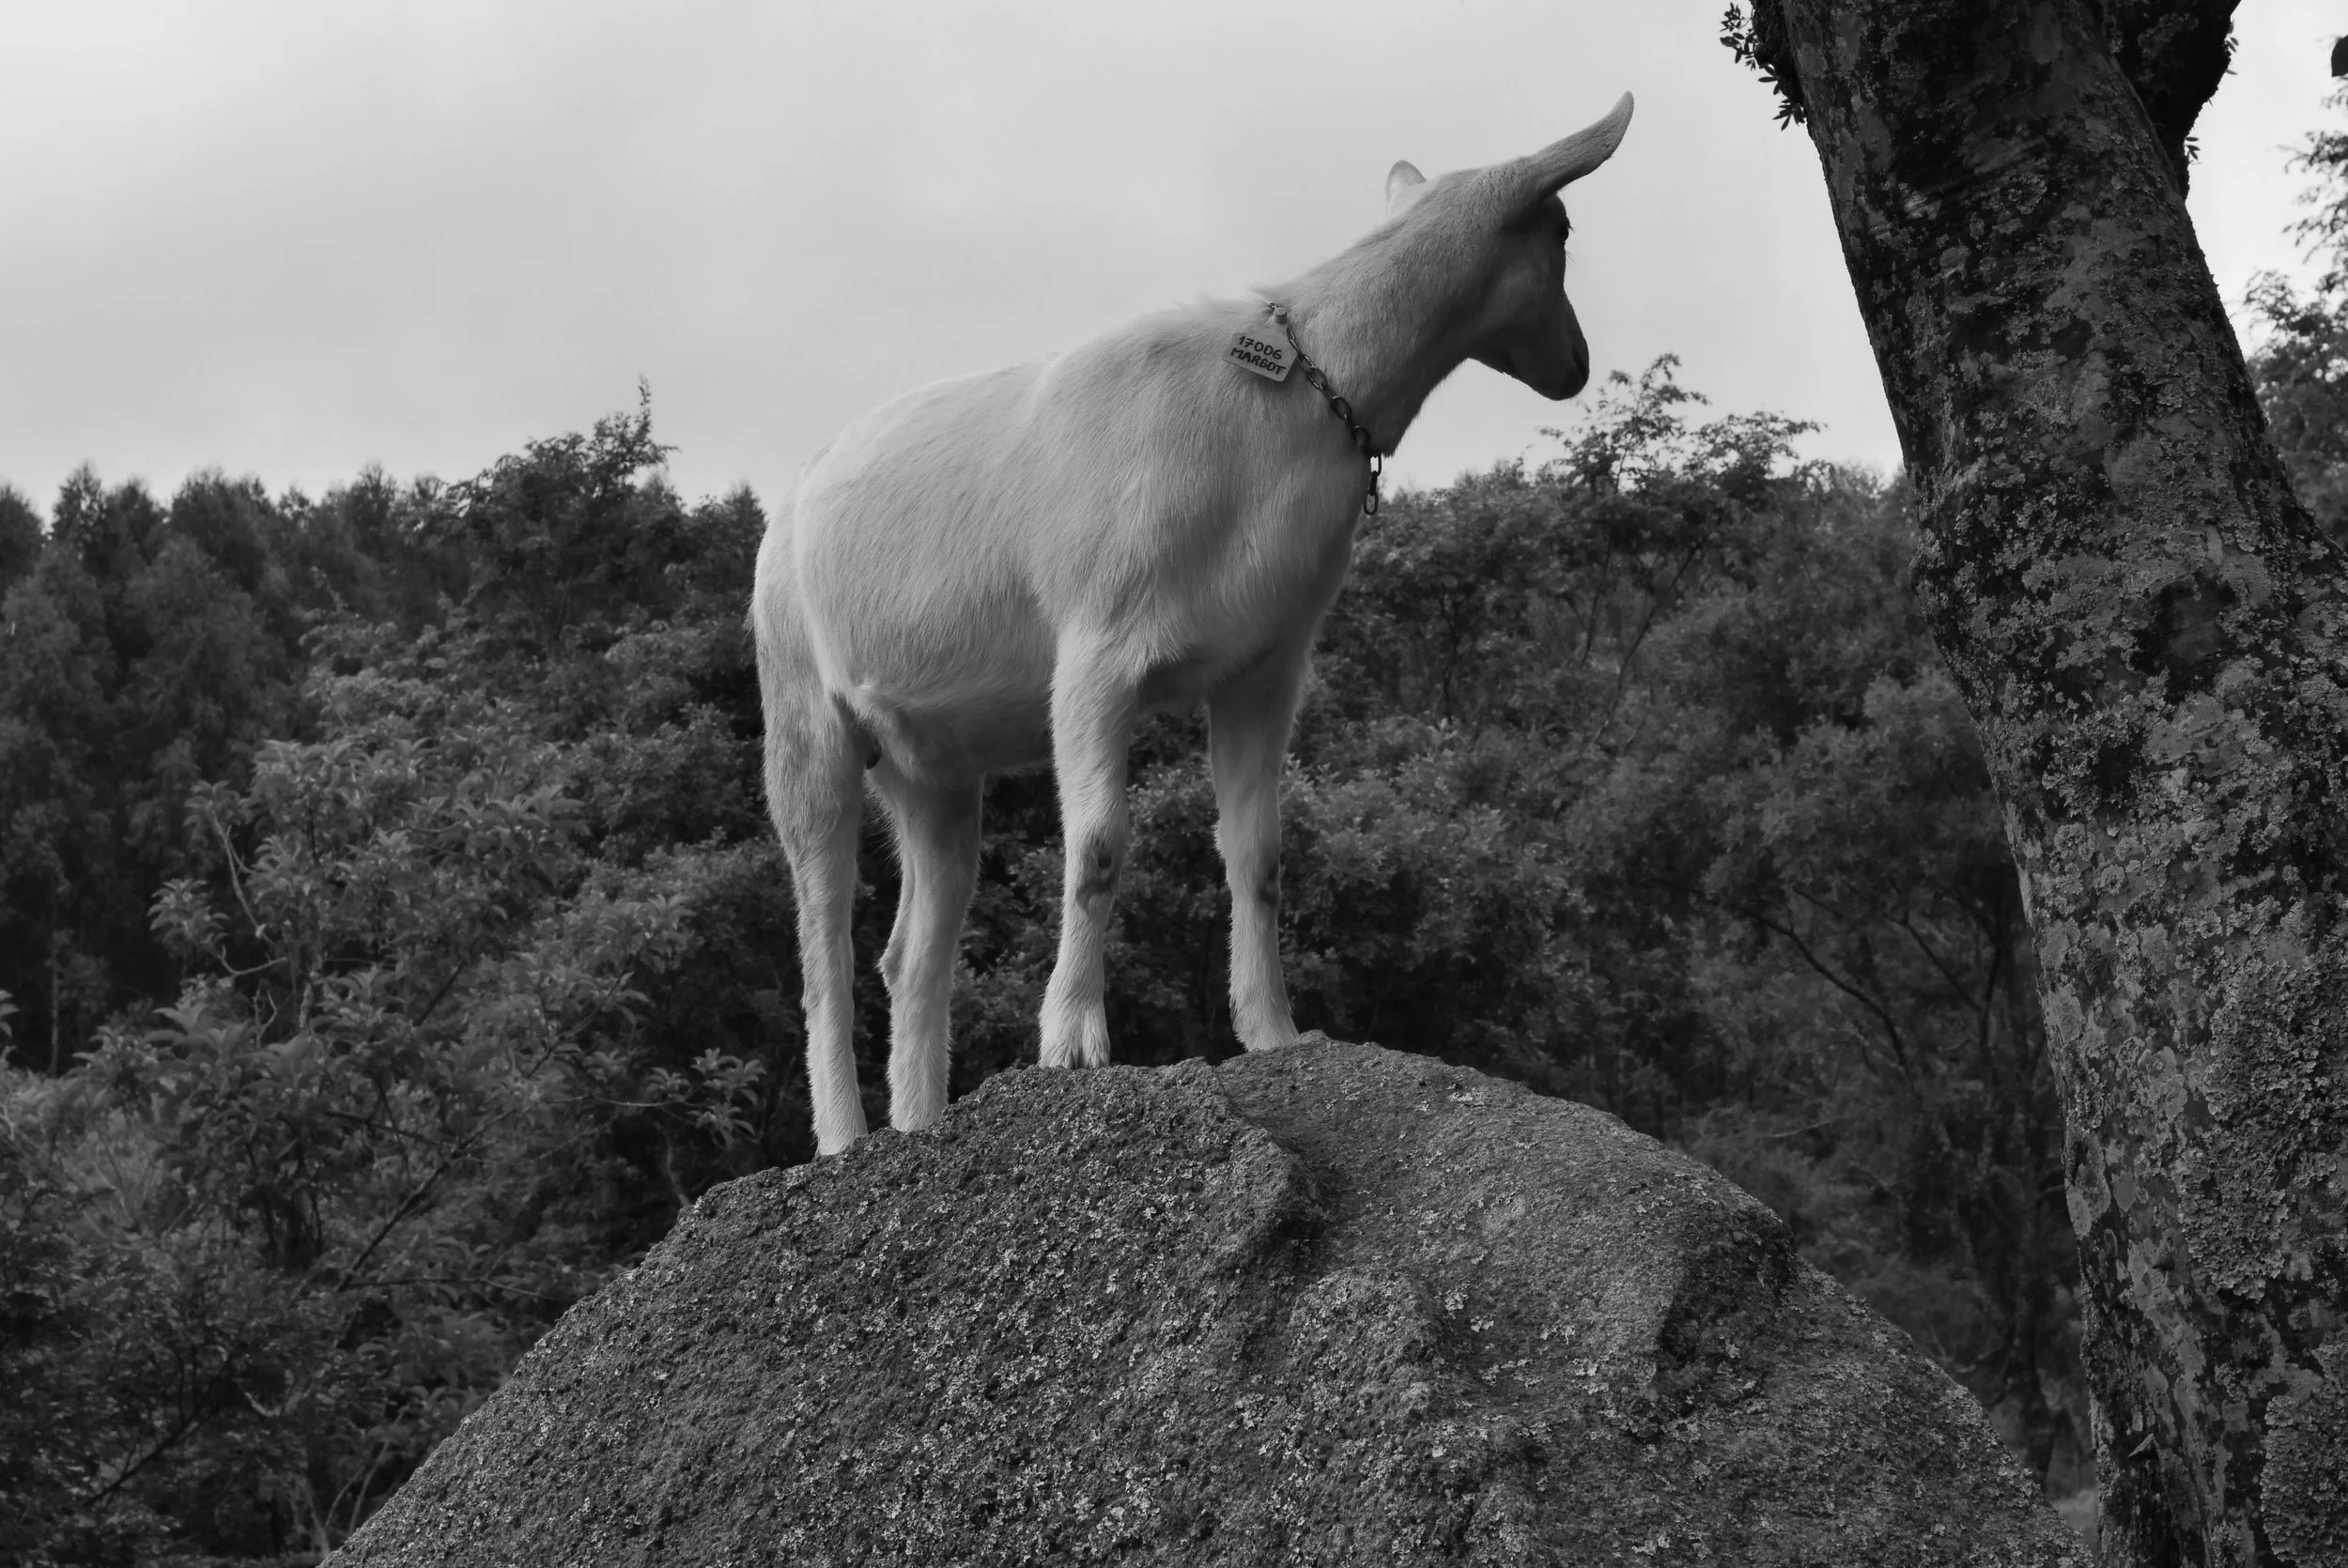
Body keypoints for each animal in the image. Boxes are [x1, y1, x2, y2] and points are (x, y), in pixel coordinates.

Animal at [754, 95, 1634, 1154]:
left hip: (932, 765)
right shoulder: (1095, 649)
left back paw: (922, 1129)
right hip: (802, 717)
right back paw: (846, 1141)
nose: (1578, 364)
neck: (1283, 404)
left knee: (911, 949)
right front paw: (1074, 1045)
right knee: (822, 955)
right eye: (1563, 231)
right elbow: (1097, 845)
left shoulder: (1263, 662)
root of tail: (784, 513)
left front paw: (1275, 1032)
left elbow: (1259, 853)